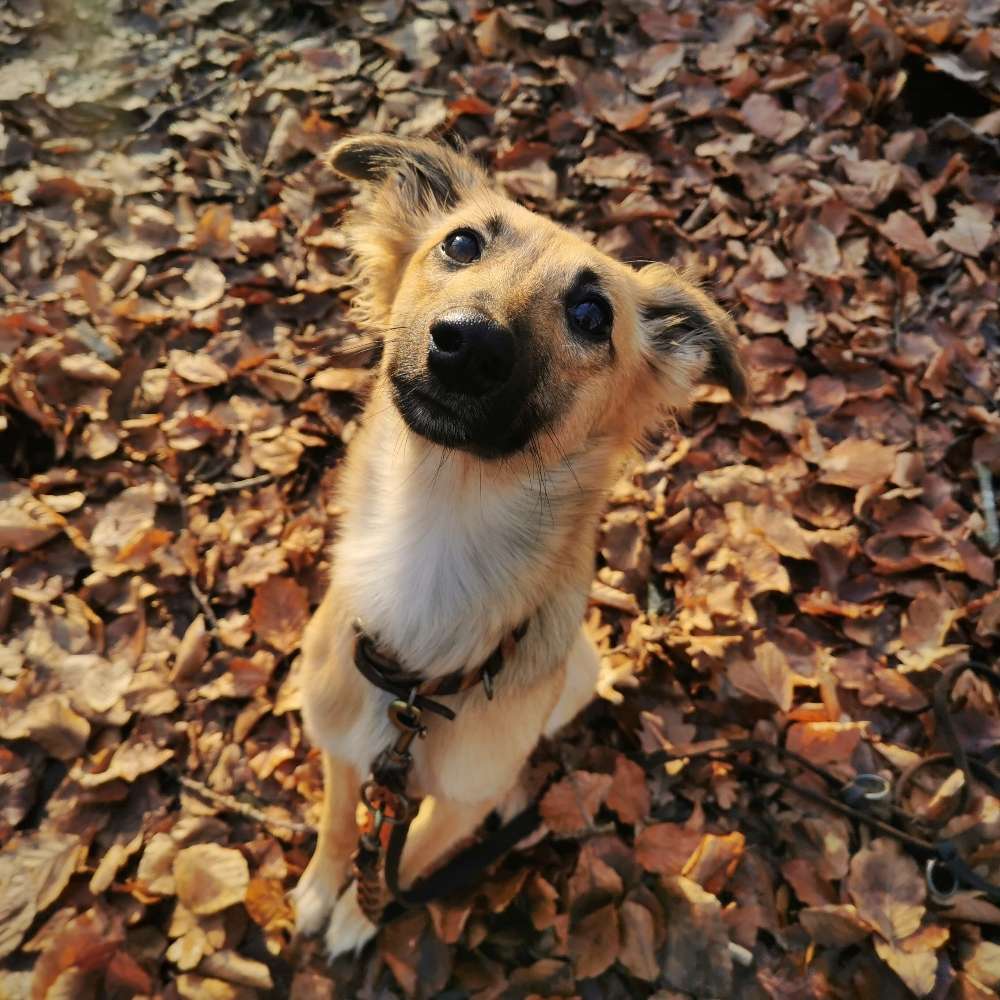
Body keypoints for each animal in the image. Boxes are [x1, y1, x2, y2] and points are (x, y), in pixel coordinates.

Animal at [290, 137, 744, 956]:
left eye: (592, 314)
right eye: (462, 243)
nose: (468, 342)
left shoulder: (460, 801)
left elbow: (416, 855)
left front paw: (358, 914)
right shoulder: (342, 746)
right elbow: (339, 823)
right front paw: (319, 888)